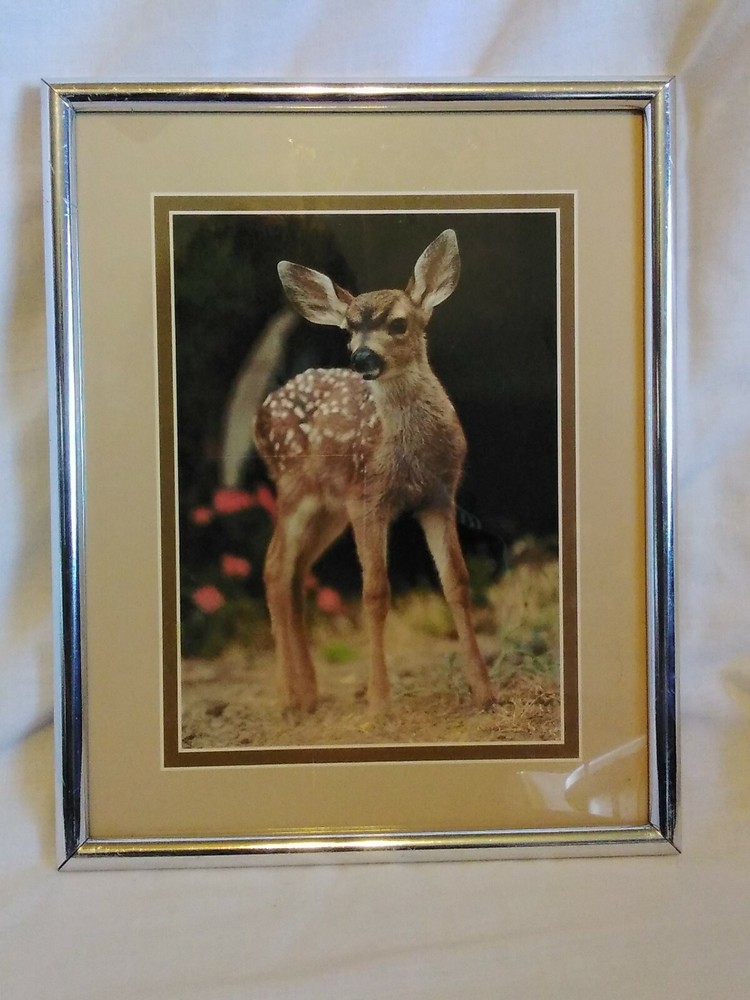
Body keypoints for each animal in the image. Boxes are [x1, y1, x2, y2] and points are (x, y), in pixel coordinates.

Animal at [254, 229, 495, 714]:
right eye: (347, 330)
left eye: (398, 324)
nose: (362, 356)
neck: (410, 455)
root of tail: (259, 417)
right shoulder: (368, 497)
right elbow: (375, 593)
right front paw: (380, 702)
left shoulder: (439, 496)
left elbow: (457, 584)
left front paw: (484, 692)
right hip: (295, 490)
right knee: (273, 568)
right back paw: (290, 696)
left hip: (329, 509)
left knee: (295, 571)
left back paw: (309, 693)